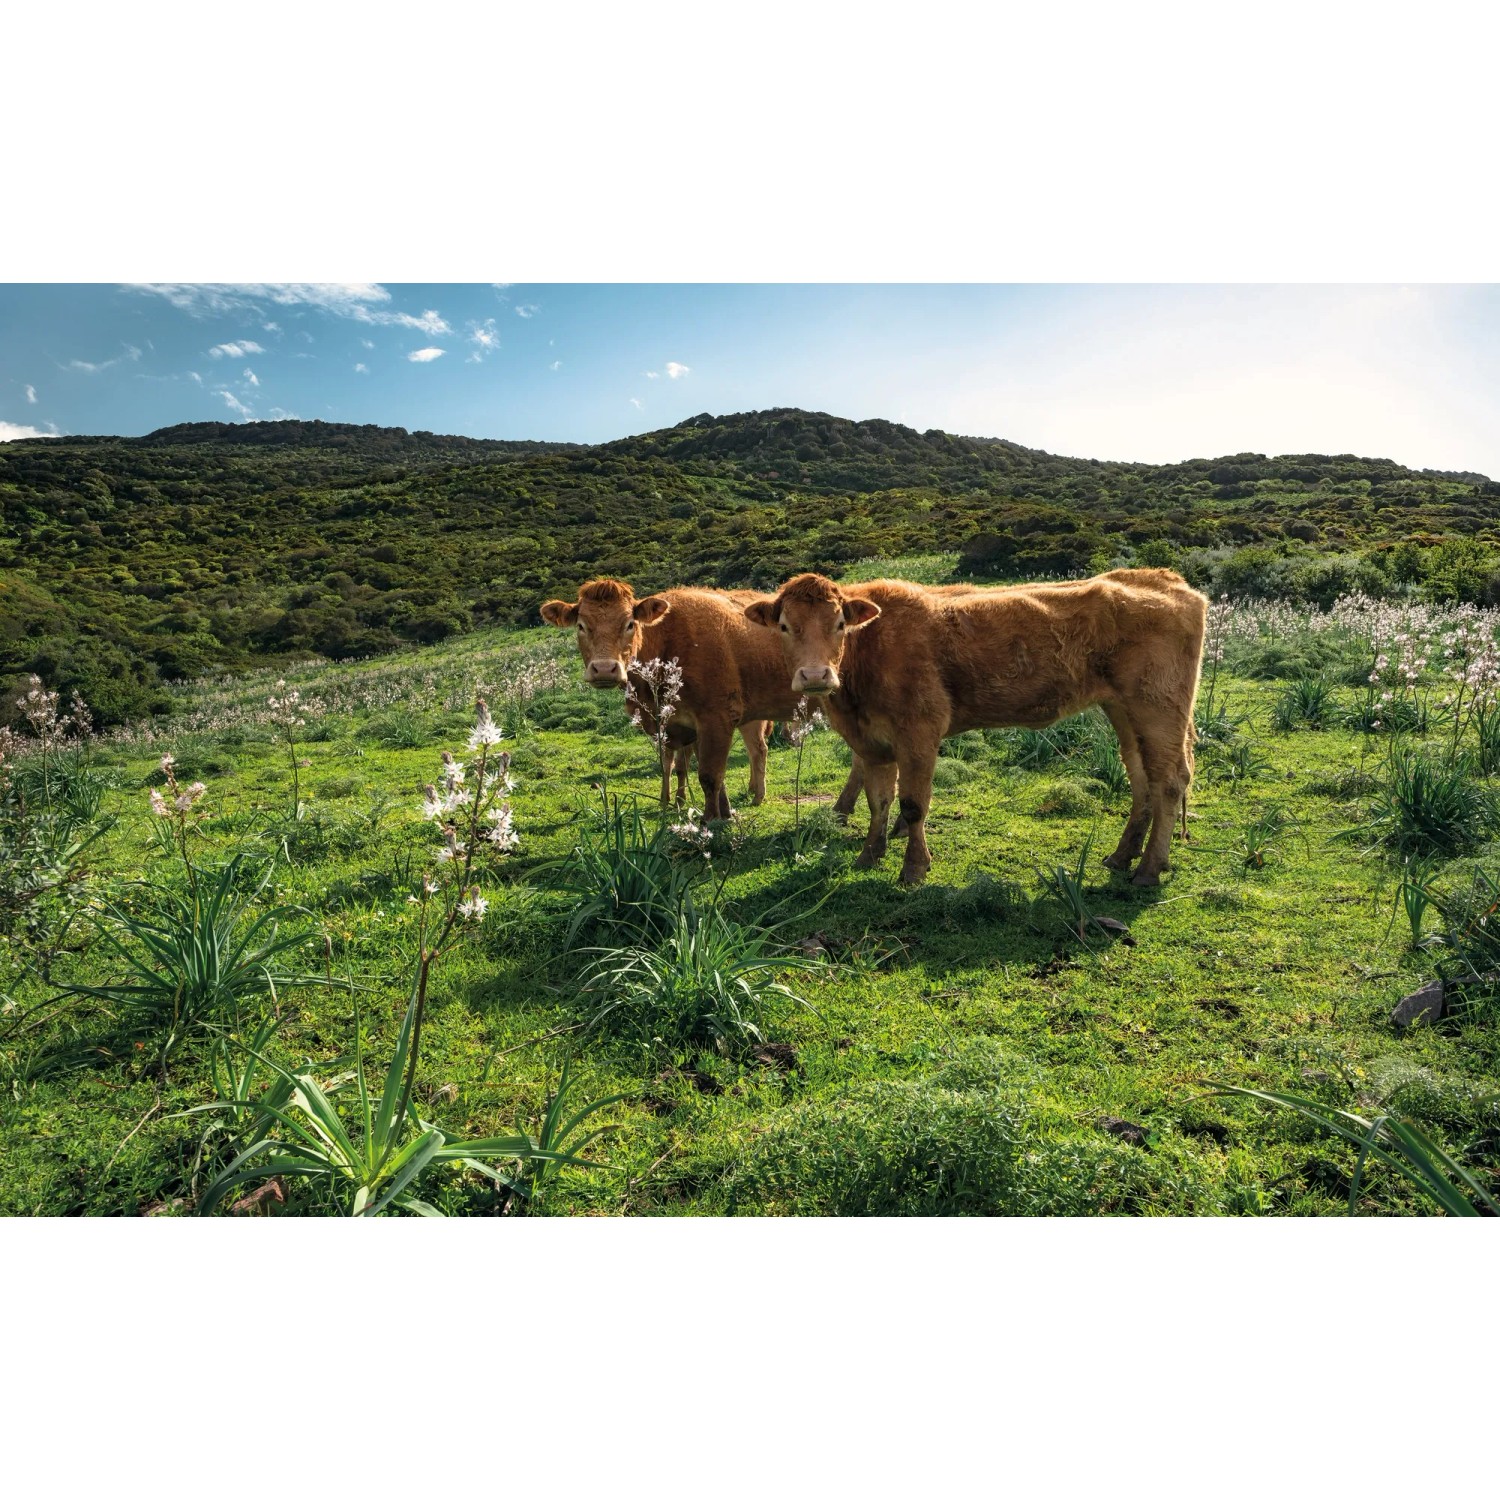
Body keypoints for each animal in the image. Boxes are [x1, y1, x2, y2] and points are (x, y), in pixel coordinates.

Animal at [540, 579, 804, 819]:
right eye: (581, 626)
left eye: (630, 624)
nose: (604, 669)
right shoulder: (680, 727)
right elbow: (689, 769)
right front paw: (721, 811)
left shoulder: (715, 719)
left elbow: (709, 775)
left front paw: (711, 821)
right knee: (757, 749)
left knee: (758, 749)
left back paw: (758, 795)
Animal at [745, 568, 1207, 887]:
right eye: (784, 627)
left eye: (840, 624)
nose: (815, 675)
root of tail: (1166, 580)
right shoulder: (871, 742)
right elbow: (879, 801)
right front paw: (869, 855)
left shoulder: (920, 732)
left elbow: (912, 804)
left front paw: (914, 868)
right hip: (1125, 710)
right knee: (1142, 777)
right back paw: (1123, 856)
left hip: (1158, 706)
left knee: (1169, 781)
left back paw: (1148, 869)